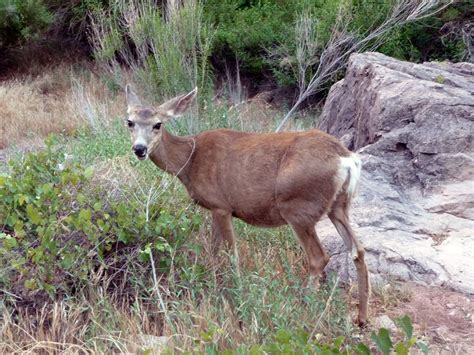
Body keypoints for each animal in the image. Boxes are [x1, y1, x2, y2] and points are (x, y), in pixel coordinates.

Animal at [124, 85, 368, 326]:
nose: (139, 149)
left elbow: (231, 254)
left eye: (158, 124)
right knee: (358, 250)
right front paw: (213, 285)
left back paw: (306, 308)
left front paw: (237, 297)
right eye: (129, 122)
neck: (190, 161)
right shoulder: (215, 209)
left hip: (299, 207)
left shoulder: (221, 205)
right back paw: (361, 317)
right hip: (339, 206)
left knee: (319, 257)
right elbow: (213, 252)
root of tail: (347, 159)